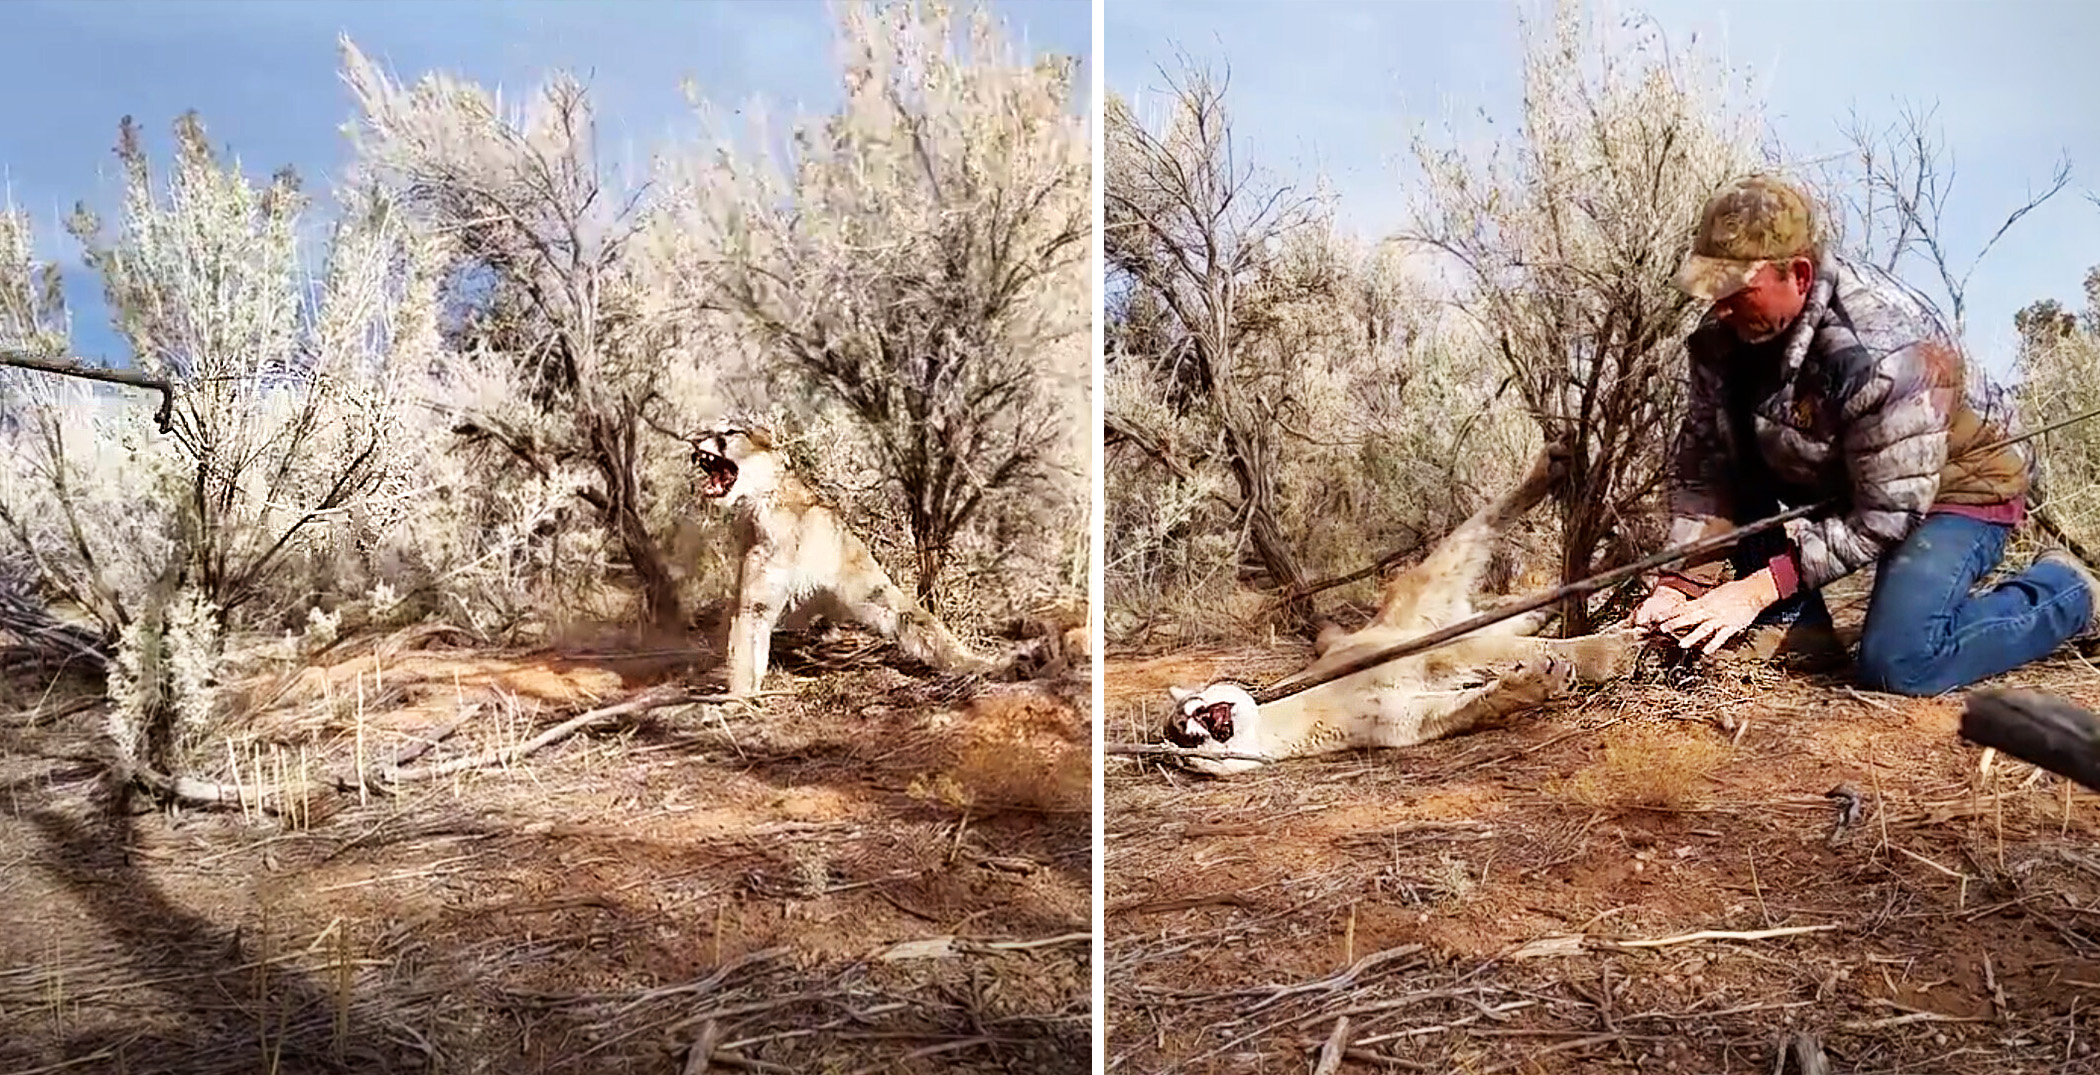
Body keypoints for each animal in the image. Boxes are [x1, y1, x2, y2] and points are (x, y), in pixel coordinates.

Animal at [688, 421, 1016, 697]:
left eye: (730, 431)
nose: (693, 438)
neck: (761, 503)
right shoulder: (752, 600)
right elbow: (745, 645)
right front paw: (740, 696)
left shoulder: (869, 587)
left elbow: (925, 628)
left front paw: (982, 665)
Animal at [1159, 443, 1641, 776]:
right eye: (1185, 744)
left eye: (1193, 710)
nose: (1197, 723)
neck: (1285, 716)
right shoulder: (1405, 720)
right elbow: (1474, 703)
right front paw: (1536, 681)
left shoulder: (1427, 655)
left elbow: (1521, 654)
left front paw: (1610, 654)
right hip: (1452, 616)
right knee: (1513, 620)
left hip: (1429, 586)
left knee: (1482, 530)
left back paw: (1556, 474)